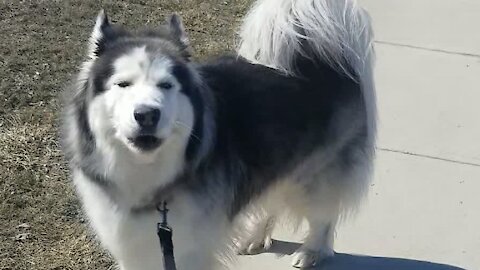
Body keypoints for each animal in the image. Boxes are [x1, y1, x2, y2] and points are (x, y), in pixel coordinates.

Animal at [62, 0, 376, 268]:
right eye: (123, 84)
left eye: (167, 85)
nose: (147, 115)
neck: (148, 176)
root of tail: (318, 60)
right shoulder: (133, 244)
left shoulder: (189, 247)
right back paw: (255, 237)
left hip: (316, 175)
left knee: (323, 214)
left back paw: (313, 250)